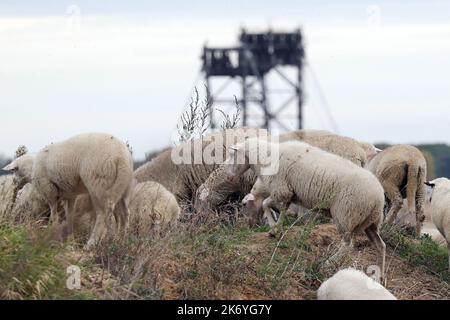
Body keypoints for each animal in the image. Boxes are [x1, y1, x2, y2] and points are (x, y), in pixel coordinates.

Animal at [3, 132, 134, 248]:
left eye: (14, 170)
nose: (14, 184)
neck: (32, 169)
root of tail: (121, 157)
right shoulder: (70, 195)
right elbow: (69, 216)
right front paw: (70, 240)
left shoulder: (49, 191)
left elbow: (54, 214)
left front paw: (52, 232)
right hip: (122, 188)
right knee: (124, 213)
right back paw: (121, 240)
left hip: (99, 184)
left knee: (103, 214)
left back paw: (93, 243)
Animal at [227, 139, 384, 276]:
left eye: (244, 204)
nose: (229, 177)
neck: (266, 158)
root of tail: (379, 198)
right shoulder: (288, 194)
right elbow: (282, 210)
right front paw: (276, 230)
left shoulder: (281, 189)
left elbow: (266, 204)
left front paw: (273, 228)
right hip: (371, 222)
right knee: (380, 245)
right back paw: (380, 274)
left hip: (345, 215)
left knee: (348, 245)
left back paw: (327, 264)